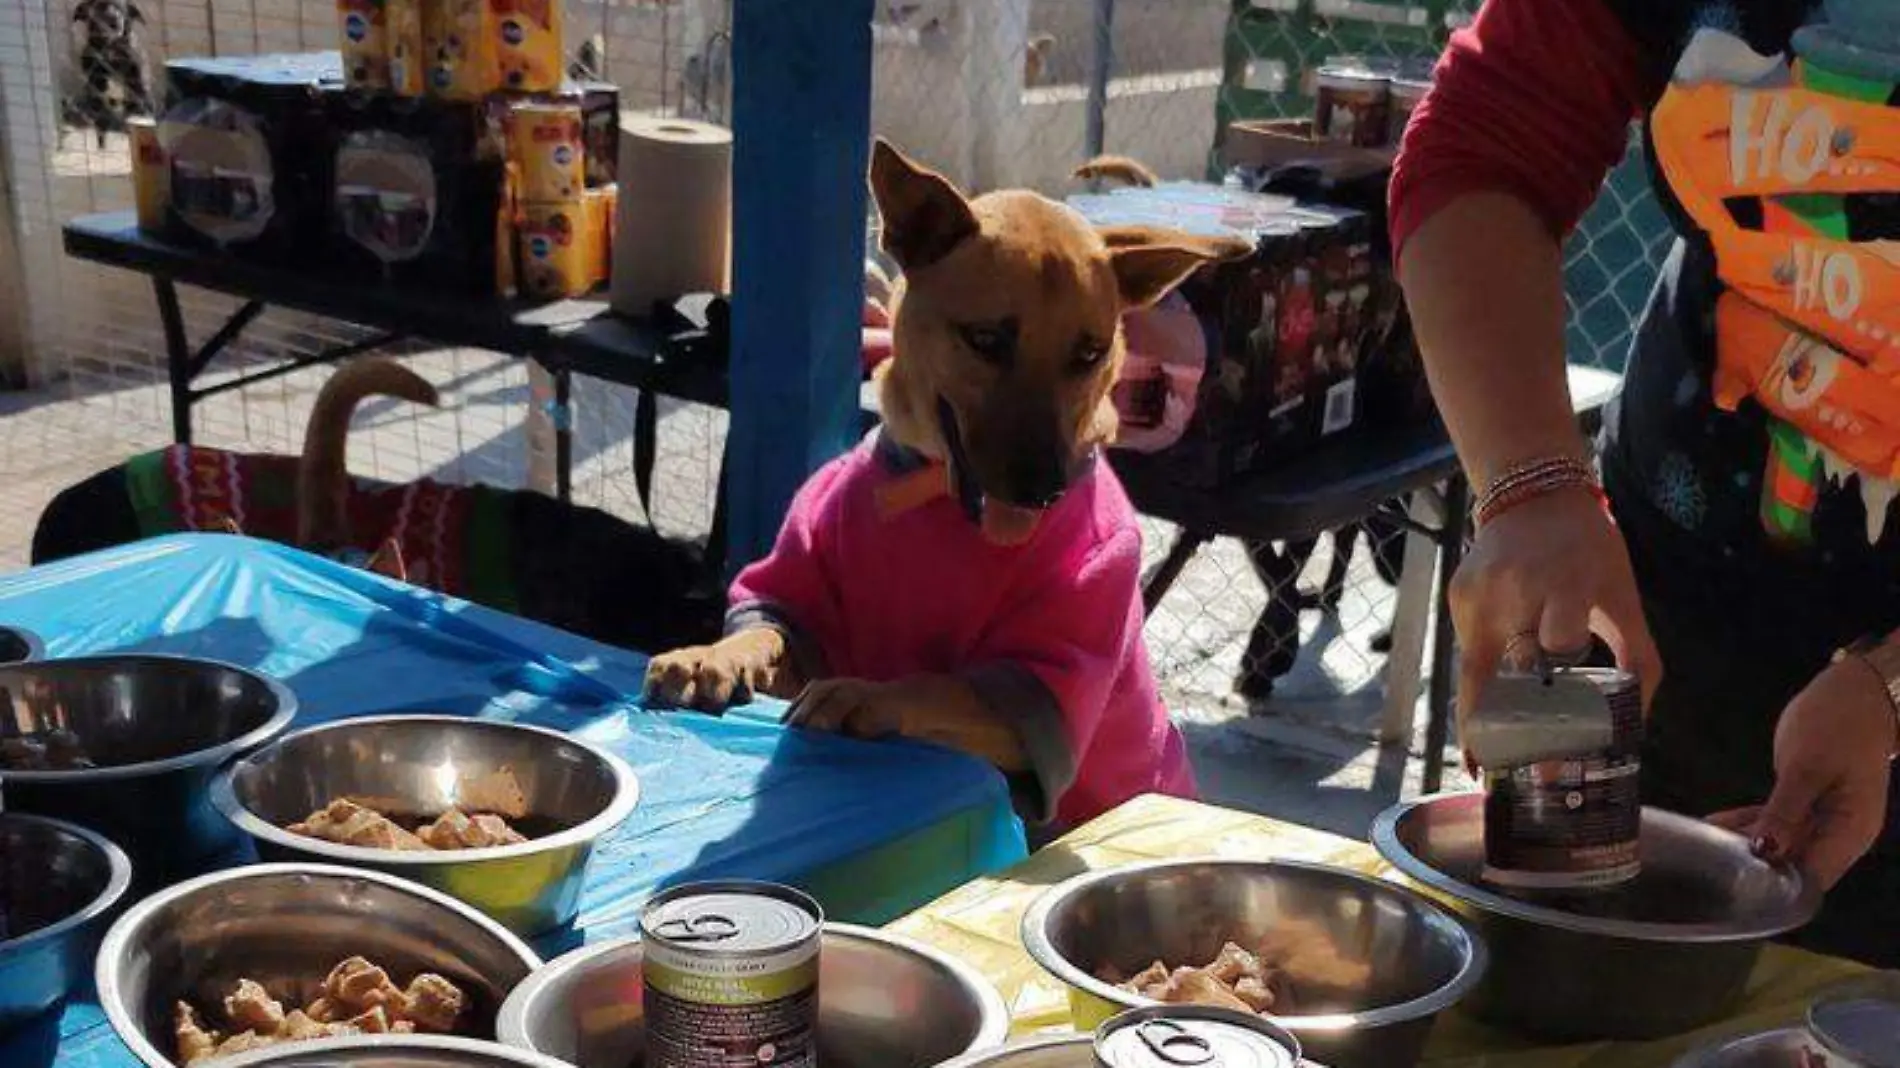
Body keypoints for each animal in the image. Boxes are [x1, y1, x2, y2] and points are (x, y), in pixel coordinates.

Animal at [646, 141, 1254, 824]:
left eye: (1090, 354)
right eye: (985, 339)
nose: (1043, 489)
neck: (930, 492)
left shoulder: (1038, 685)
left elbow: (936, 684)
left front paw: (864, 694)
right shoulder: (799, 615)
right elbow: (766, 633)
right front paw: (708, 655)